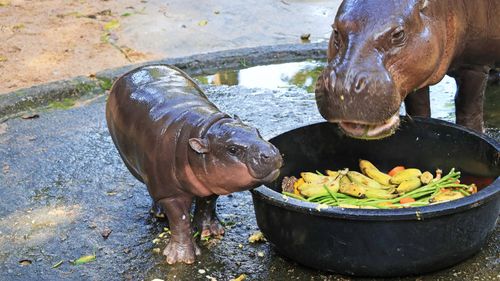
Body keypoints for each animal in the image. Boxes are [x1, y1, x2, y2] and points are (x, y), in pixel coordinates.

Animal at [106, 64, 284, 264]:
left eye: (256, 130)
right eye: (232, 149)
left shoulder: (210, 182)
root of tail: (133, 70)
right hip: (140, 170)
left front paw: (211, 232)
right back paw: (159, 213)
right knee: (152, 190)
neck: (203, 130)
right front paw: (180, 258)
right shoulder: (170, 194)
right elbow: (180, 220)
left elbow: (207, 204)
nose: (270, 153)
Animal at [316, 0, 500, 138]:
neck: (441, 8)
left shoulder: (474, 65)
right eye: (335, 30)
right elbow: (419, 107)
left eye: (398, 34)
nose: (343, 85)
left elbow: (468, 110)